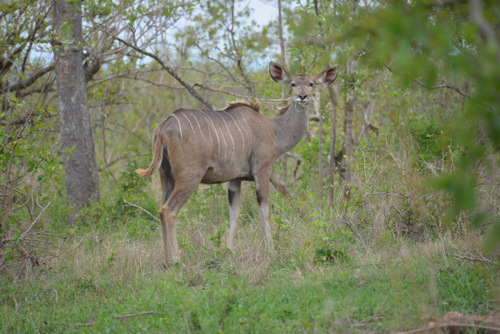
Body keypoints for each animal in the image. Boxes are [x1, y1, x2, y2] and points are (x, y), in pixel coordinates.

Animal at [137, 60, 340, 264]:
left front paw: (230, 250)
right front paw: (272, 251)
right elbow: (265, 208)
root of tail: (164, 128)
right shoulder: (261, 171)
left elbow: (234, 212)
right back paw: (177, 260)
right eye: (292, 84)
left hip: (166, 176)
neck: (273, 129)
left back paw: (166, 261)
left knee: (160, 210)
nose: (302, 96)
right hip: (189, 177)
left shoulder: (235, 178)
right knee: (169, 210)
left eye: (311, 84)